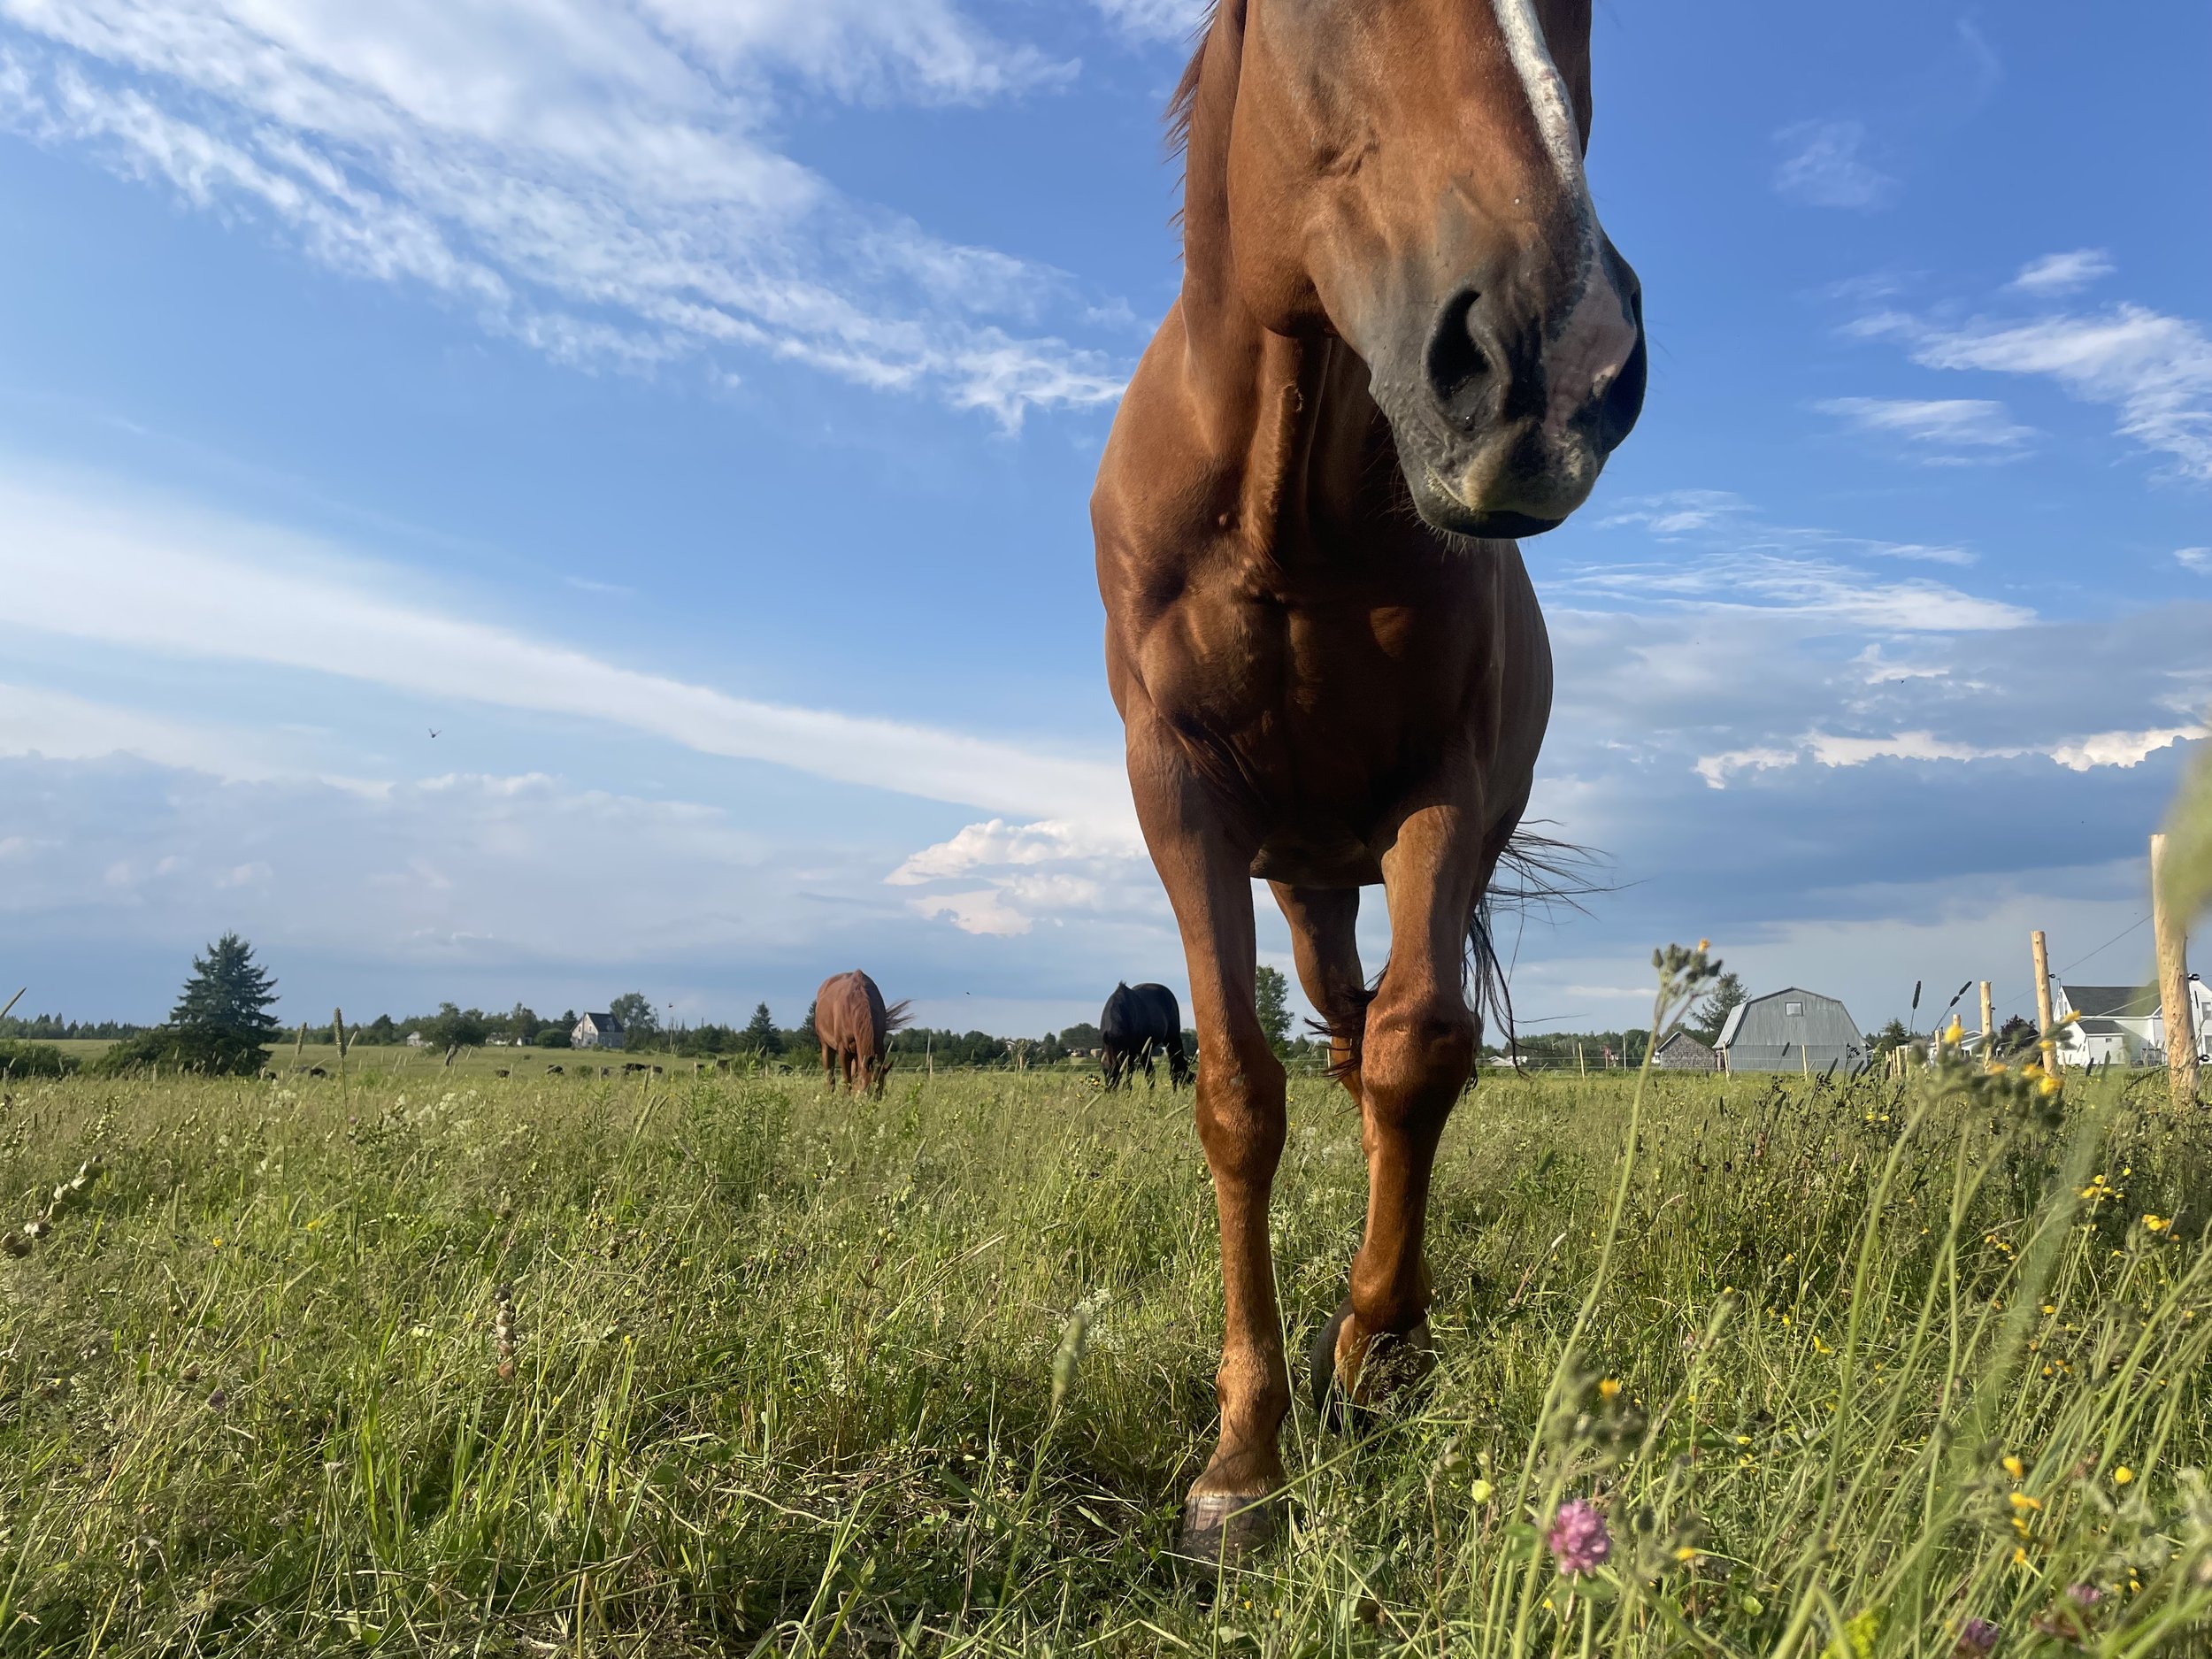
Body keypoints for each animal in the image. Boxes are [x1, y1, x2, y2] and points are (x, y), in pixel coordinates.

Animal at [813, 970, 912, 1099]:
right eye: (865, 1090)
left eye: (880, 1092)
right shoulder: (843, 1049)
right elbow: (847, 1080)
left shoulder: (878, 1046)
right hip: (826, 1045)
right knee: (830, 1076)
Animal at [1092, 0, 1645, 1557]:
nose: (1553, 361)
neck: (1281, 506)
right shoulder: (1182, 803)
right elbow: (1238, 1091)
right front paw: (1241, 1460)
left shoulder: (1438, 792)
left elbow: (1423, 1049)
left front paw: (1378, 1348)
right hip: (1304, 882)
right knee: (1336, 1039)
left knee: (1385, 1048)